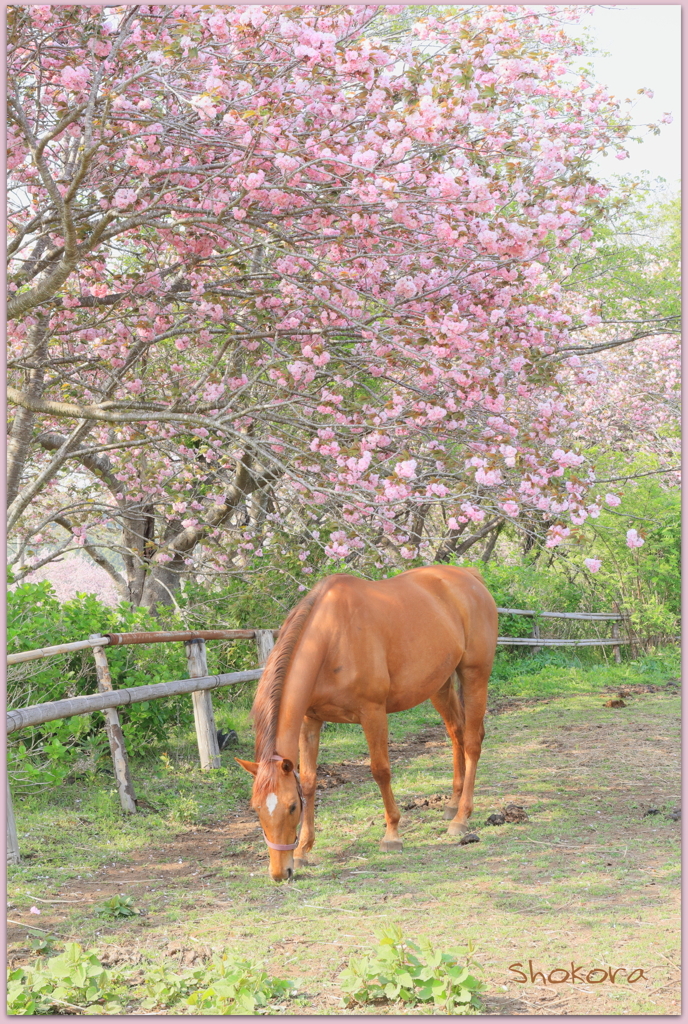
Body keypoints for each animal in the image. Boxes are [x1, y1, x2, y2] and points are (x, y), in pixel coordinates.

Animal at [239, 561, 497, 880]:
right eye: (257, 809)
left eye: (290, 807)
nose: (279, 873)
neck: (332, 639)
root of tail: (469, 576)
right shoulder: (310, 721)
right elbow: (310, 781)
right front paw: (303, 851)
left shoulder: (372, 713)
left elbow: (380, 771)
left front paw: (392, 835)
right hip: (440, 684)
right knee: (456, 733)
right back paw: (451, 804)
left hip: (475, 674)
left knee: (472, 742)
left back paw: (461, 818)